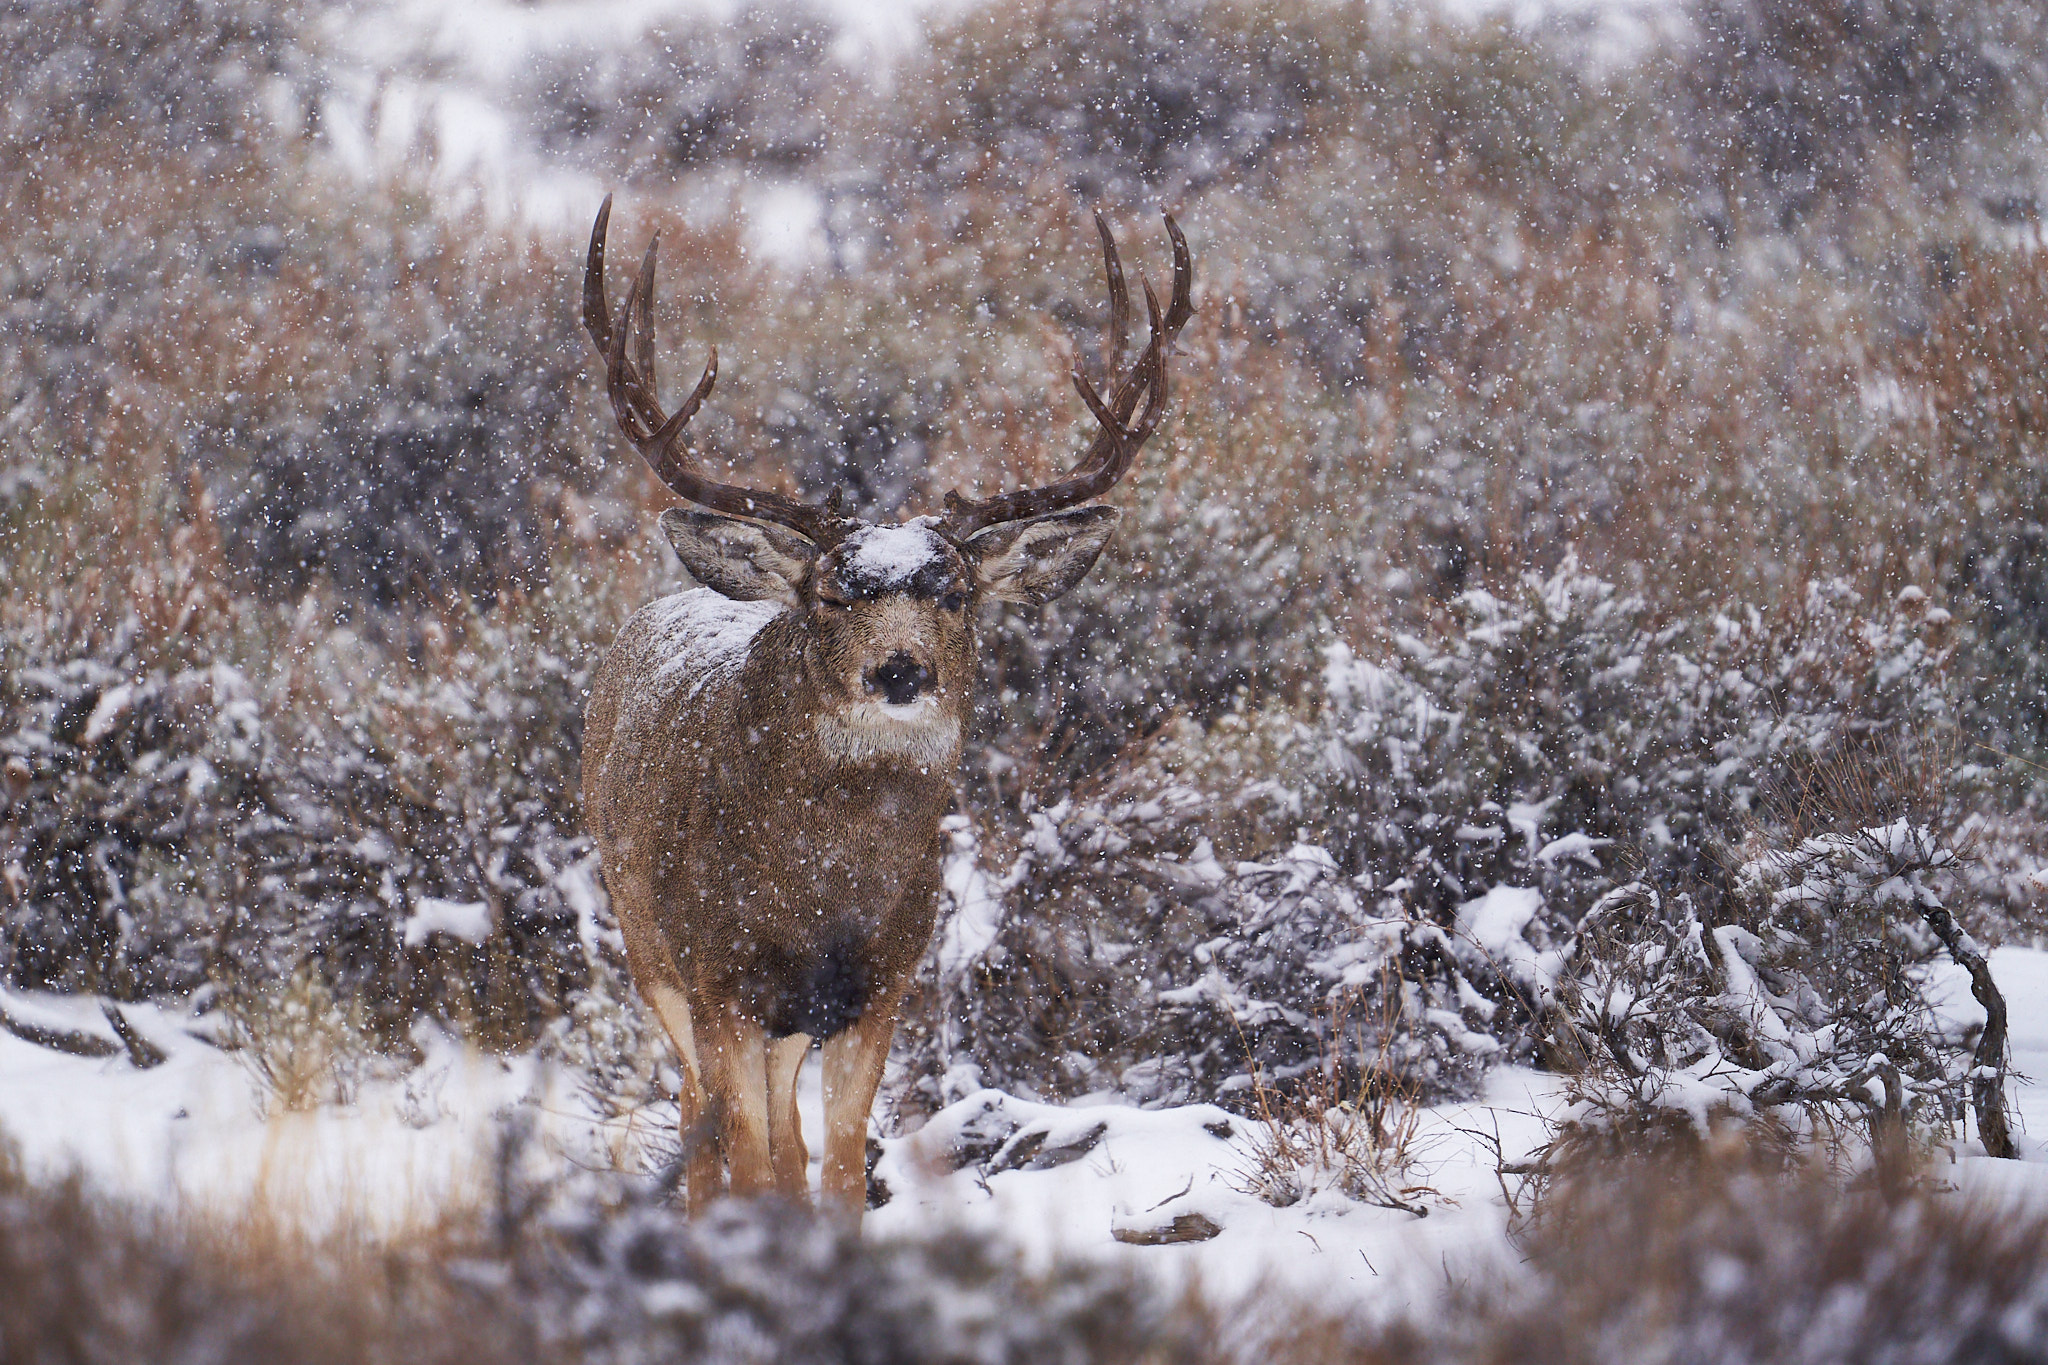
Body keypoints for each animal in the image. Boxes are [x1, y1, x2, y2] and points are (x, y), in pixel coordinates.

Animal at [578, 196, 1192, 1221]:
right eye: (834, 592)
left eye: (956, 592)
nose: (899, 670)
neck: (823, 903)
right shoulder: (719, 978)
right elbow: (747, 1154)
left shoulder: (884, 987)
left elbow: (835, 1168)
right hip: (647, 947)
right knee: (702, 1118)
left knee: (779, 1136)